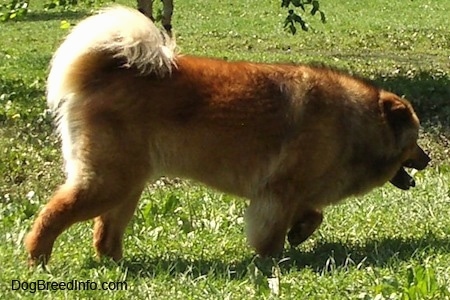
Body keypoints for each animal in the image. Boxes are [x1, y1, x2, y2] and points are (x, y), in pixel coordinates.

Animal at [23, 6, 428, 264]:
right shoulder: (278, 192)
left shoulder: (295, 192)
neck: (356, 125)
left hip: (128, 185)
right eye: (414, 141)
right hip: (108, 181)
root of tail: (106, 70)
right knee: (53, 214)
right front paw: (273, 258)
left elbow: (313, 215)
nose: (429, 158)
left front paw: (300, 233)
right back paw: (38, 257)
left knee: (104, 233)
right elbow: (272, 232)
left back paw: (117, 264)